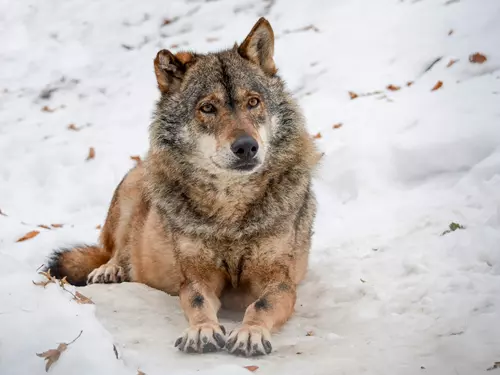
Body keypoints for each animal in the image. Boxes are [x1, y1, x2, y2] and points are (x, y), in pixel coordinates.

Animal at [47, 17, 320, 358]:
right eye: (207, 108)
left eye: (253, 102)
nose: (247, 147)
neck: (231, 216)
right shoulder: (195, 277)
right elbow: (198, 301)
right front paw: (202, 331)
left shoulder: (280, 281)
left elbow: (261, 305)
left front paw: (249, 334)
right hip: (134, 186)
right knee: (113, 250)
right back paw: (110, 270)